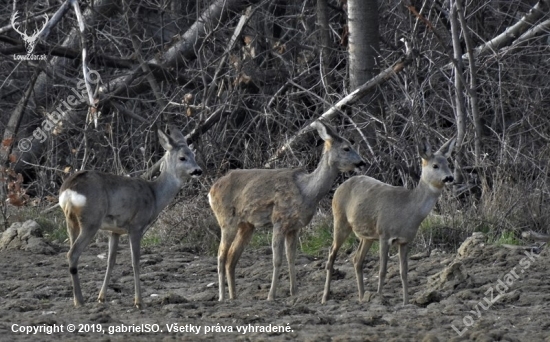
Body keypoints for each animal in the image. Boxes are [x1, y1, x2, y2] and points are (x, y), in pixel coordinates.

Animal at [57, 127, 203, 308]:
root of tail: (68, 190)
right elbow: (135, 261)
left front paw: (101, 297)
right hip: (91, 220)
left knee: (72, 252)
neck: (154, 196)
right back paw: (80, 301)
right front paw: (139, 301)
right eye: (182, 157)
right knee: (72, 254)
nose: (198, 170)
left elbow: (111, 261)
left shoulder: (115, 230)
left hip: (71, 221)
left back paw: (77, 298)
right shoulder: (136, 226)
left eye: (193, 154)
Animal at [210, 121, 366, 300]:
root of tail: (211, 191)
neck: (306, 191)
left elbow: (291, 257)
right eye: (346, 148)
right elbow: (277, 260)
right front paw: (271, 295)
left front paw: (294, 292)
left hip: (246, 225)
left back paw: (233, 296)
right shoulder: (279, 220)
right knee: (221, 255)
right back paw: (222, 297)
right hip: (226, 220)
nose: (362, 162)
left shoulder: (294, 227)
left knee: (231, 258)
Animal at [324, 138, 458, 304]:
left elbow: (404, 272)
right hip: (340, 220)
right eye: (435, 165)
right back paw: (325, 297)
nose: (450, 177)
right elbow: (382, 270)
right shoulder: (384, 234)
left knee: (357, 259)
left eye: (448, 163)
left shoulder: (405, 241)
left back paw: (362, 297)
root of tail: (339, 187)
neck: (408, 210)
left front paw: (406, 302)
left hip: (367, 236)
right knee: (331, 254)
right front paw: (380, 299)